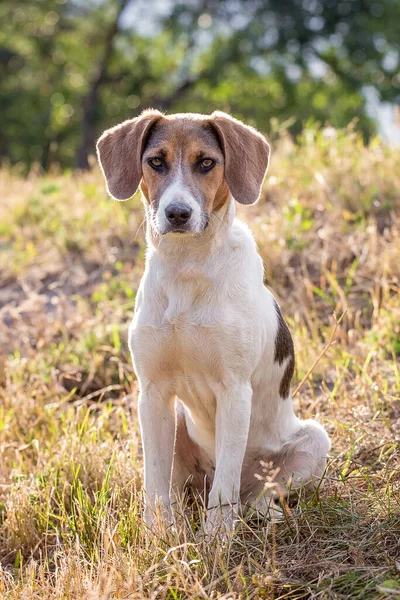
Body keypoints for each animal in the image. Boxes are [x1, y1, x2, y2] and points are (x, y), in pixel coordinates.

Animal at [97, 108, 332, 536]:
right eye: (156, 161)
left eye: (206, 162)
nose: (177, 213)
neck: (187, 267)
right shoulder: (152, 394)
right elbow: (154, 486)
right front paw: (159, 538)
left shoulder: (234, 391)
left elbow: (223, 495)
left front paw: (215, 543)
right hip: (174, 420)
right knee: (184, 490)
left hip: (312, 441)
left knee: (251, 493)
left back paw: (259, 513)